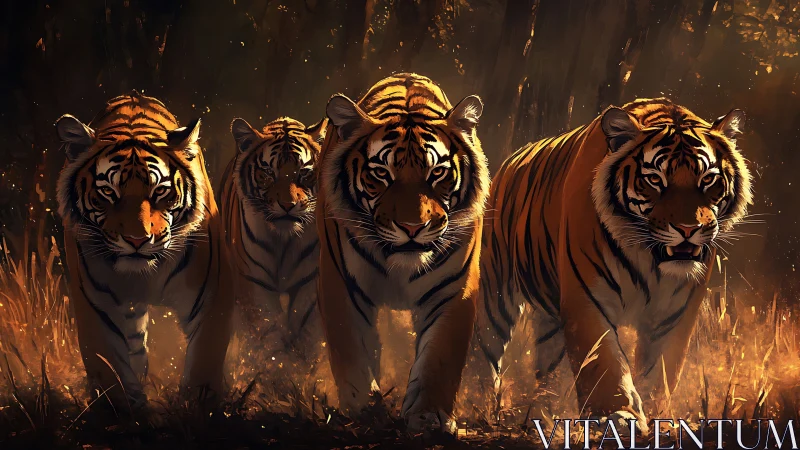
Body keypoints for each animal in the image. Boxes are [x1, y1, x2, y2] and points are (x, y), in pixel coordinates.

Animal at [55, 91, 234, 410]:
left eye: (160, 191)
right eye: (108, 192)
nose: (137, 240)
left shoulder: (213, 293)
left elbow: (205, 358)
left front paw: (199, 407)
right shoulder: (94, 305)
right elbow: (107, 364)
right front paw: (123, 410)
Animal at [219, 116, 327, 358]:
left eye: (304, 172)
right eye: (267, 173)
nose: (288, 205)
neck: (283, 241)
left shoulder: (307, 283)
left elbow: (304, 333)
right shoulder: (254, 283)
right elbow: (269, 334)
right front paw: (275, 366)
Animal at [317, 73, 489, 434]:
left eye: (437, 173)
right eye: (381, 174)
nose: (412, 227)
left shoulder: (453, 289)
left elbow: (439, 355)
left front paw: (428, 416)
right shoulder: (341, 284)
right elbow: (350, 348)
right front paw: (363, 410)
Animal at [474, 98, 751, 428]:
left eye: (707, 179)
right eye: (654, 180)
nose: (688, 229)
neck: (651, 259)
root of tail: (508, 162)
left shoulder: (676, 313)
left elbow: (661, 370)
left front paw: (656, 415)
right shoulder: (587, 299)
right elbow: (604, 362)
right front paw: (617, 415)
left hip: (549, 316)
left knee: (547, 366)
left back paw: (542, 413)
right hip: (494, 293)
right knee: (485, 350)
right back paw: (481, 408)